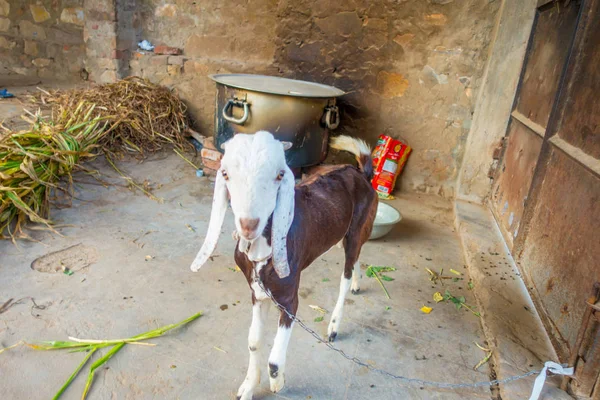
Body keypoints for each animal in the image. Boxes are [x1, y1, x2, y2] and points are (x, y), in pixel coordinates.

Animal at [190, 131, 378, 400]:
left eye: (280, 174)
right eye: (225, 173)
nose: (248, 225)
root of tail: (361, 173)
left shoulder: (289, 299)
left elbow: (275, 359)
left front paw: (277, 383)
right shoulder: (257, 293)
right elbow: (254, 341)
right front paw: (248, 387)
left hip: (357, 227)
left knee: (346, 271)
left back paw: (334, 325)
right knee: (356, 257)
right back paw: (356, 283)